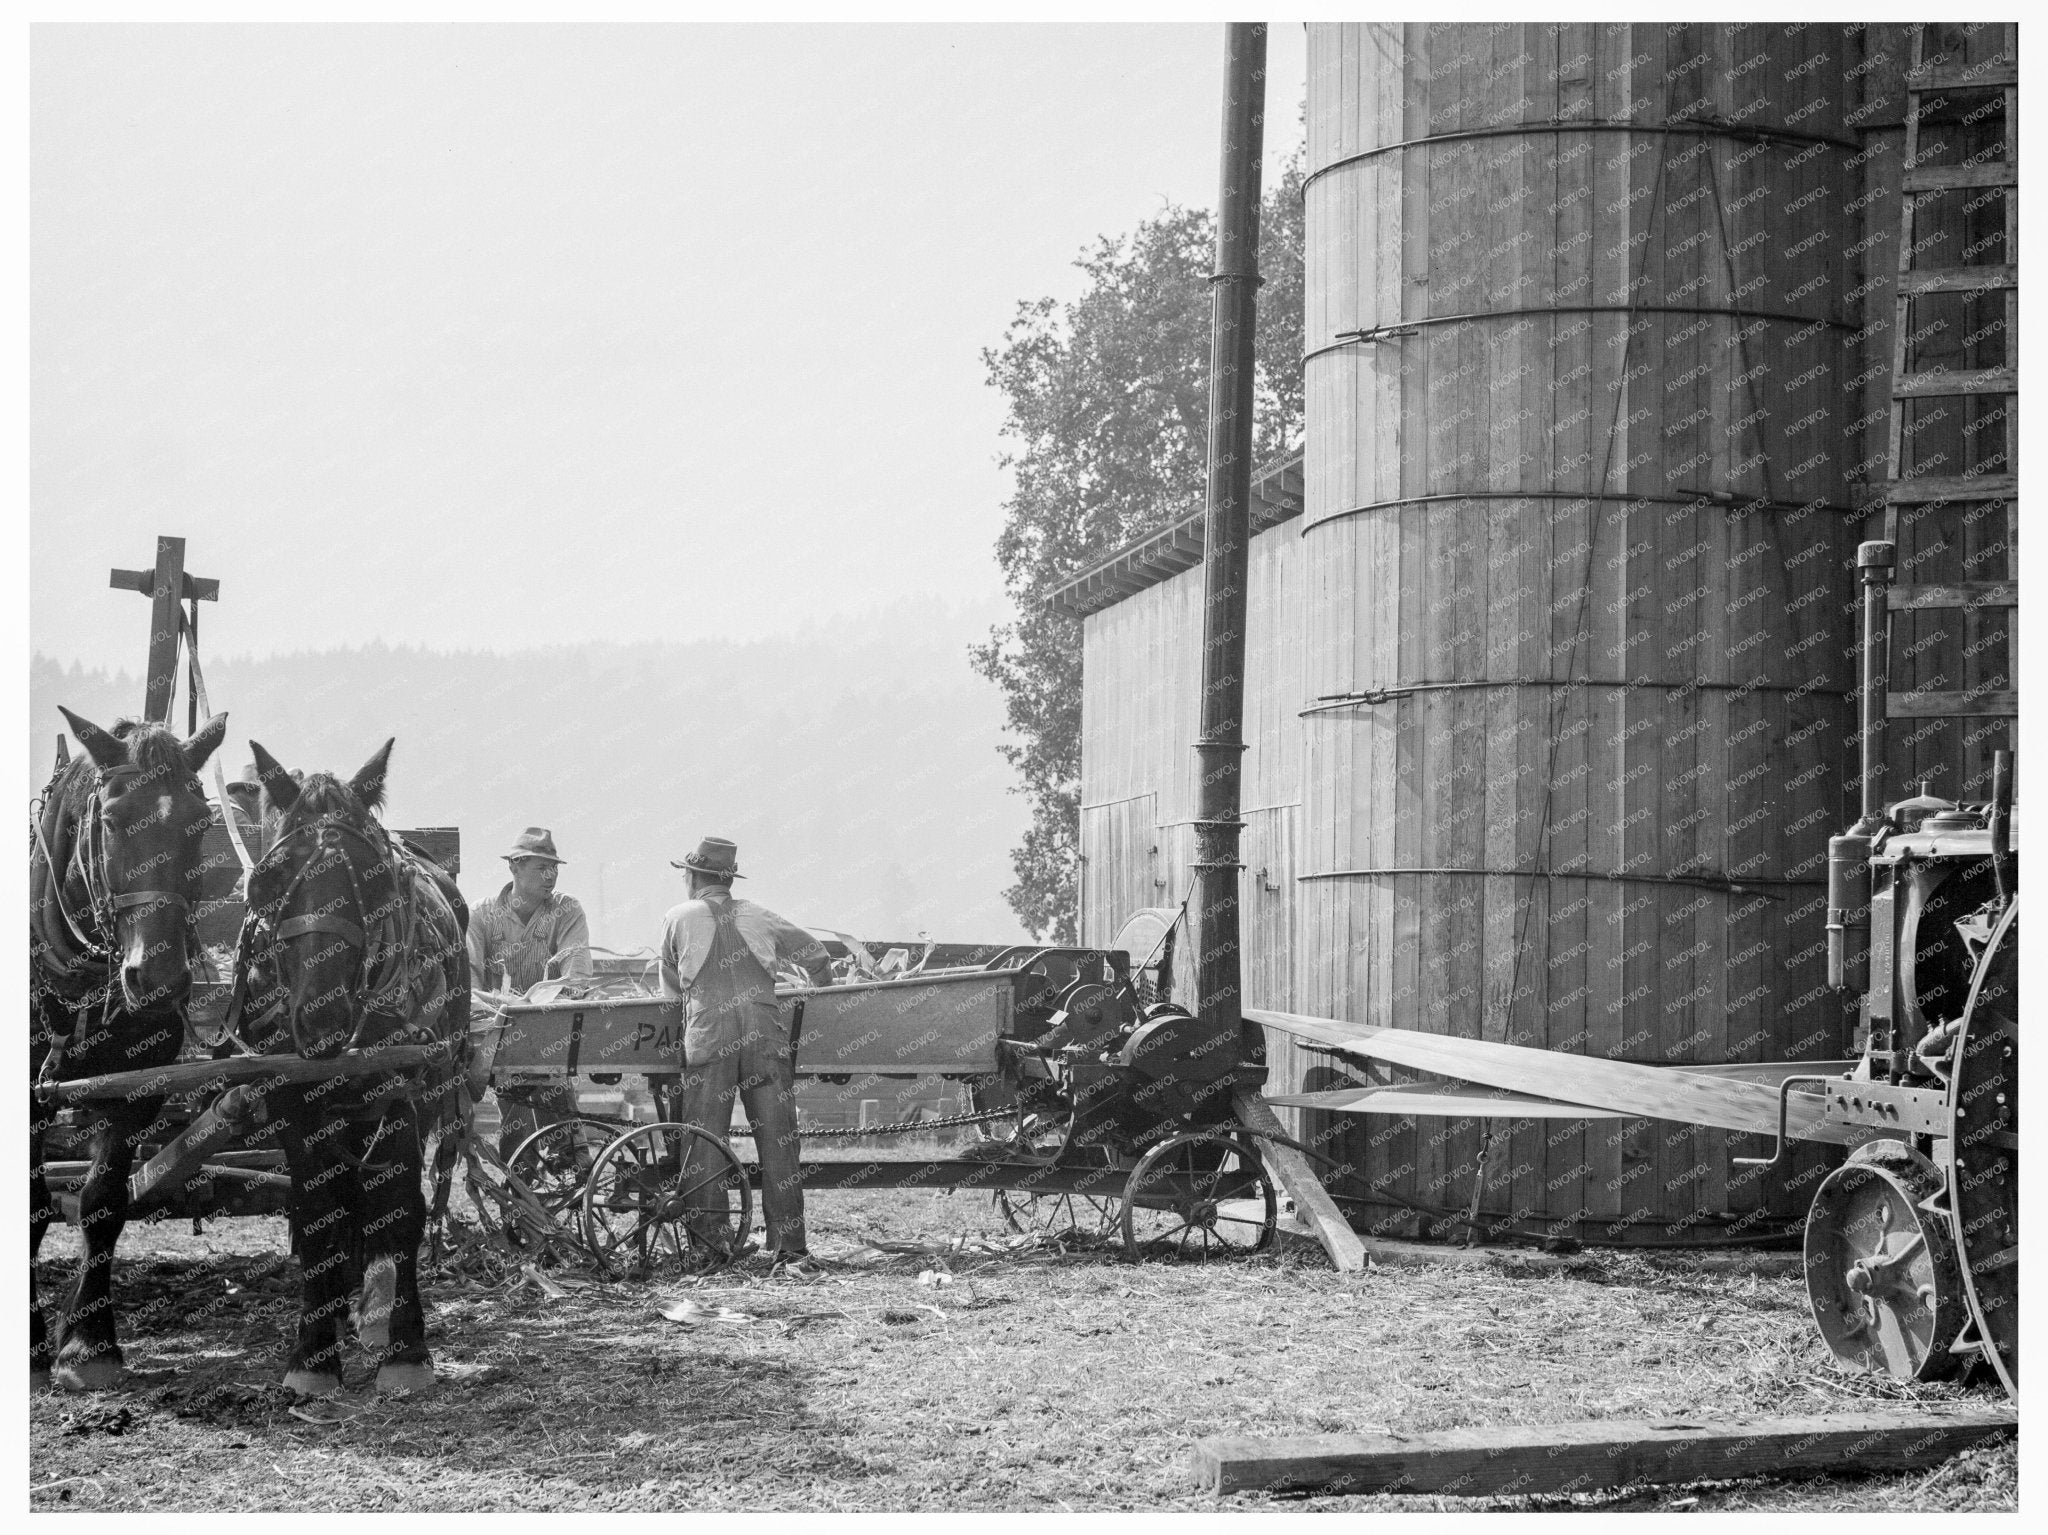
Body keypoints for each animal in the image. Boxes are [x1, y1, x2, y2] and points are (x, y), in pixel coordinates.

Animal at [30, 708, 229, 1391]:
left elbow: (102, 1202)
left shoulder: (140, 1082)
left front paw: (88, 1342)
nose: (160, 980)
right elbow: (34, 1203)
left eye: (200, 823)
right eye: (113, 821)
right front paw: (35, 1343)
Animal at [233, 740, 468, 1399]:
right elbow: (318, 1215)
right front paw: (312, 1354)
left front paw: (406, 1349)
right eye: (269, 879)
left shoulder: (406, 1091)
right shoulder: (290, 1096)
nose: (321, 1019)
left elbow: (401, 1208)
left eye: (371, 877)